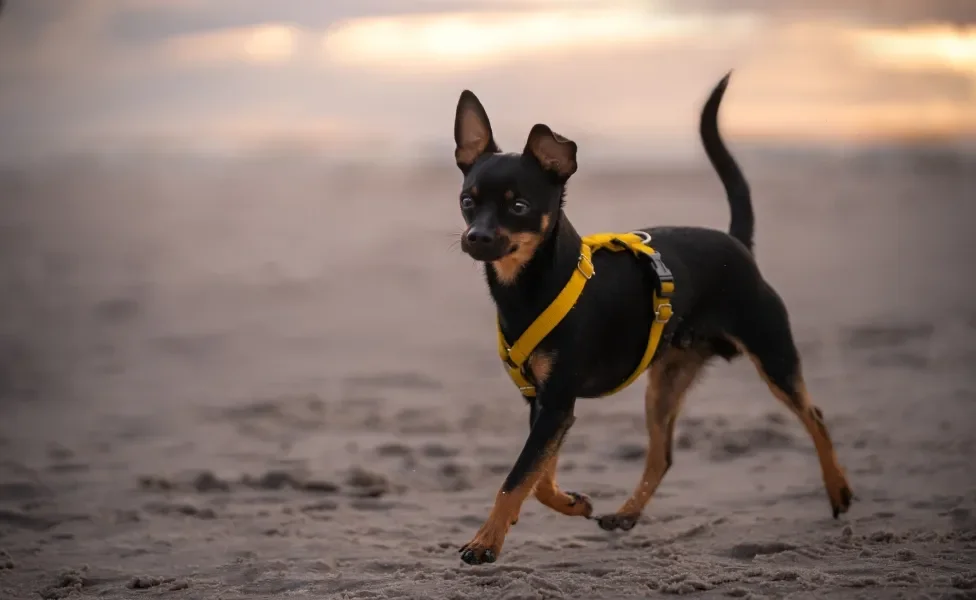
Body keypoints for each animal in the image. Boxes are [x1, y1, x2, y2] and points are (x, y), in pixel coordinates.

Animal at [454, 72, 852, 564]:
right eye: (467, 202)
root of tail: (737, 242)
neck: (527, 285)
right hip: (665, 384)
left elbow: (517, 478)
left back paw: (838, 490)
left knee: (813, 414)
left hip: (772, 354)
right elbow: (539, 477)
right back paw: (626, 514)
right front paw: (572, 503)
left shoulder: (557, 402)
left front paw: (485, 541)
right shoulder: (545, 404)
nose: (476, 236)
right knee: (662, 455)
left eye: (519, 207)